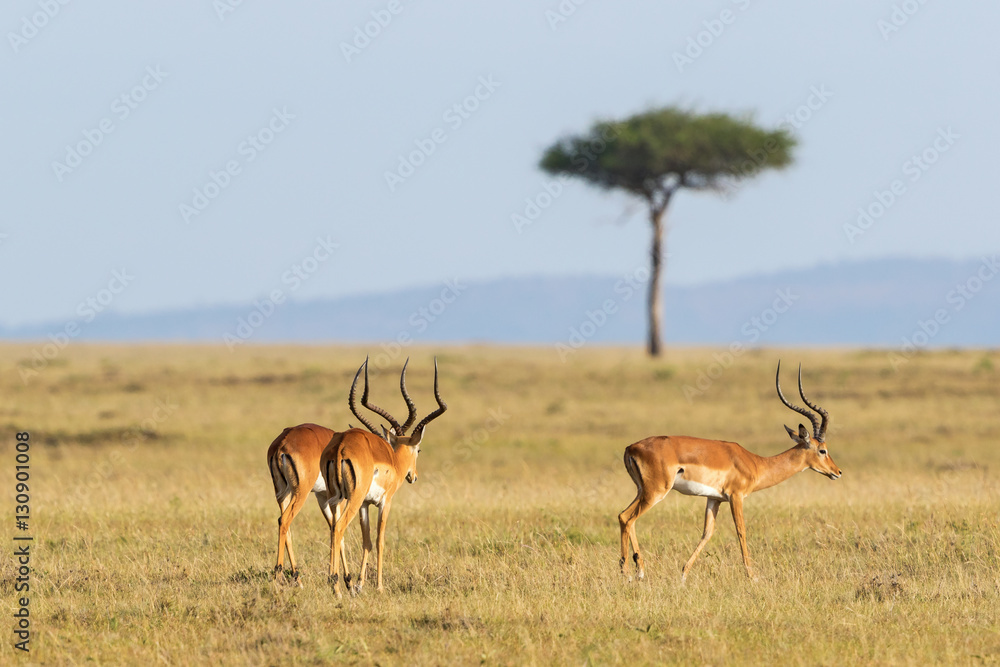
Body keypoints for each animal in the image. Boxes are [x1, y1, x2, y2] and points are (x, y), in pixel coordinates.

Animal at [321, 357, 447, 597]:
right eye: (418, 449)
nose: (413, 477)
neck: (393, 461)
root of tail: (341, 446)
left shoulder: (365, 505)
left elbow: (367, 541)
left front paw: (360, 585)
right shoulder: (384, 503)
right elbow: (380, 540)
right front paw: (379, 587)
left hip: (337, 498)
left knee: (333, 529)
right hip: (351, 499)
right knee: (339, 528)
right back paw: (336, 588)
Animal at [618, 361, 841, 582]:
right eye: (823, 450)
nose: (837, 472)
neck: (756, 463)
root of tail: (631, 447)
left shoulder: (714, 499)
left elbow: (707, 533)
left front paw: (683, 573)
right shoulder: (736, 496)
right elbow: (741, 530)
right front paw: (752, 575)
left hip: (642, 491)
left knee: (628, 518)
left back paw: (639, 570)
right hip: (655, 492)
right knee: (626, 517)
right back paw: (628, 572)